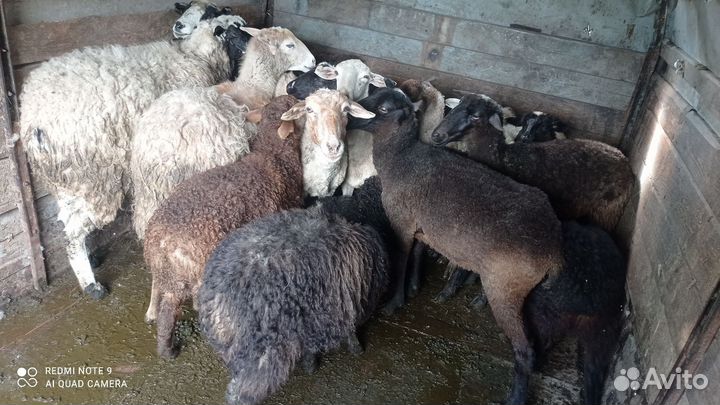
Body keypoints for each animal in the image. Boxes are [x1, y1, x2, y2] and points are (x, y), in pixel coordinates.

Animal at [19, 17, 244, 299]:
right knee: (75, 228)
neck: (194, 56)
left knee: (68, 218)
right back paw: (91, 284)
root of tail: (34, 119)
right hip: (94, 175)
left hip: (66, 177)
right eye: (235, 30)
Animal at [143, 92, 374, 358]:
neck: (271, 154)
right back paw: (173, 347)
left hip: (167, 273)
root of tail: (159, 239)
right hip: (188, 272)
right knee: (171, 311)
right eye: (306, 110)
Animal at [198, 176, 390, 405]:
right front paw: (356, 350)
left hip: (235, 350)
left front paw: (310, 365)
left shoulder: (316, 315)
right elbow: (350, 330)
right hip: (262, 353)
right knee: (243, 391)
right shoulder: (348, 303)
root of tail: (216, 299)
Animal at [348, 88, 564, 405]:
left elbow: (400, 259)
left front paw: (394, 302)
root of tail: (553, 247)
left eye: (385, 108)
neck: (401, 158)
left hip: (505, 287)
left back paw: (515, 397)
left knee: (525, 350)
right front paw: (415, 286)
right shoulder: (422, 228)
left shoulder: (402, 222)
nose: (348, 112)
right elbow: (416, 254)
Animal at [432, 93, 635, 232]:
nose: (436, 135)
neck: (502, 156)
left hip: (607, 212)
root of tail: (622, 158)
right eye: (455, 108)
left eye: (475, 116)